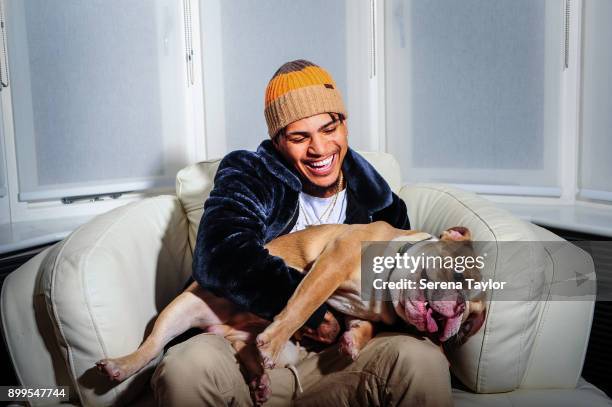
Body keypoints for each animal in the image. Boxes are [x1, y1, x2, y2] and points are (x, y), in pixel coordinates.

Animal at [98, 223, 486, 404]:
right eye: (459, 273)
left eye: (470, 322)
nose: (460, 313)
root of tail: (222, 327)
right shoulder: (331, 264)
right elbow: (304, 304)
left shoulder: (361, 312)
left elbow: (359, 326)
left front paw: (351, 342)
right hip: (181, 308)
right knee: (152, 346)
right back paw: (120, 365)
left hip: (250, 342)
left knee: (247, 351)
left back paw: (261, 380)